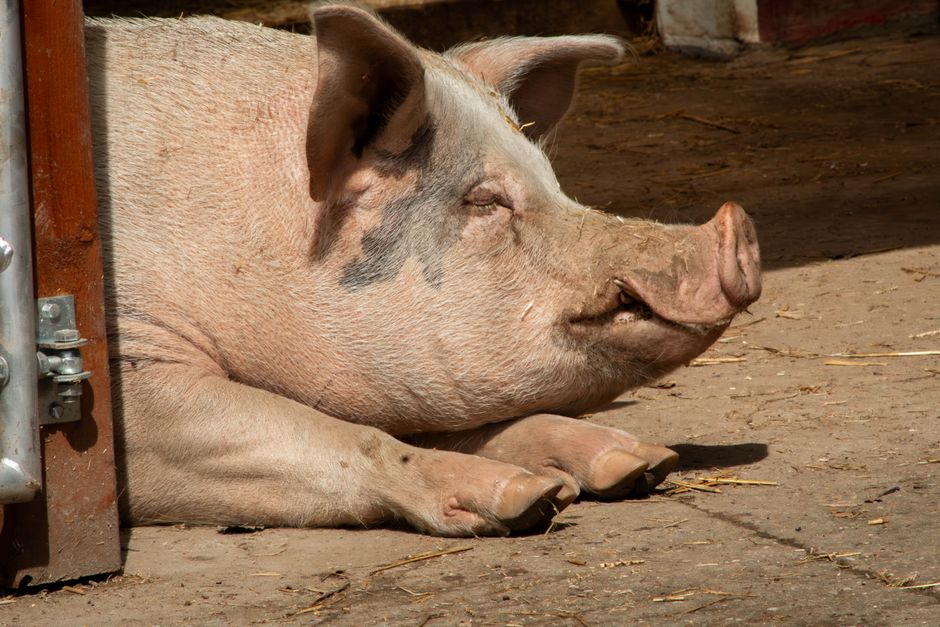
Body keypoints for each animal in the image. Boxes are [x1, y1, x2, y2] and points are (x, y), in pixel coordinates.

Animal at [85, 4, 761, 536]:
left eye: (555, 183)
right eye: (484, 199)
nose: (738, 230)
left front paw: (639, 464)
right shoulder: (128, 370)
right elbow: (340, 432)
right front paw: (529, 500)